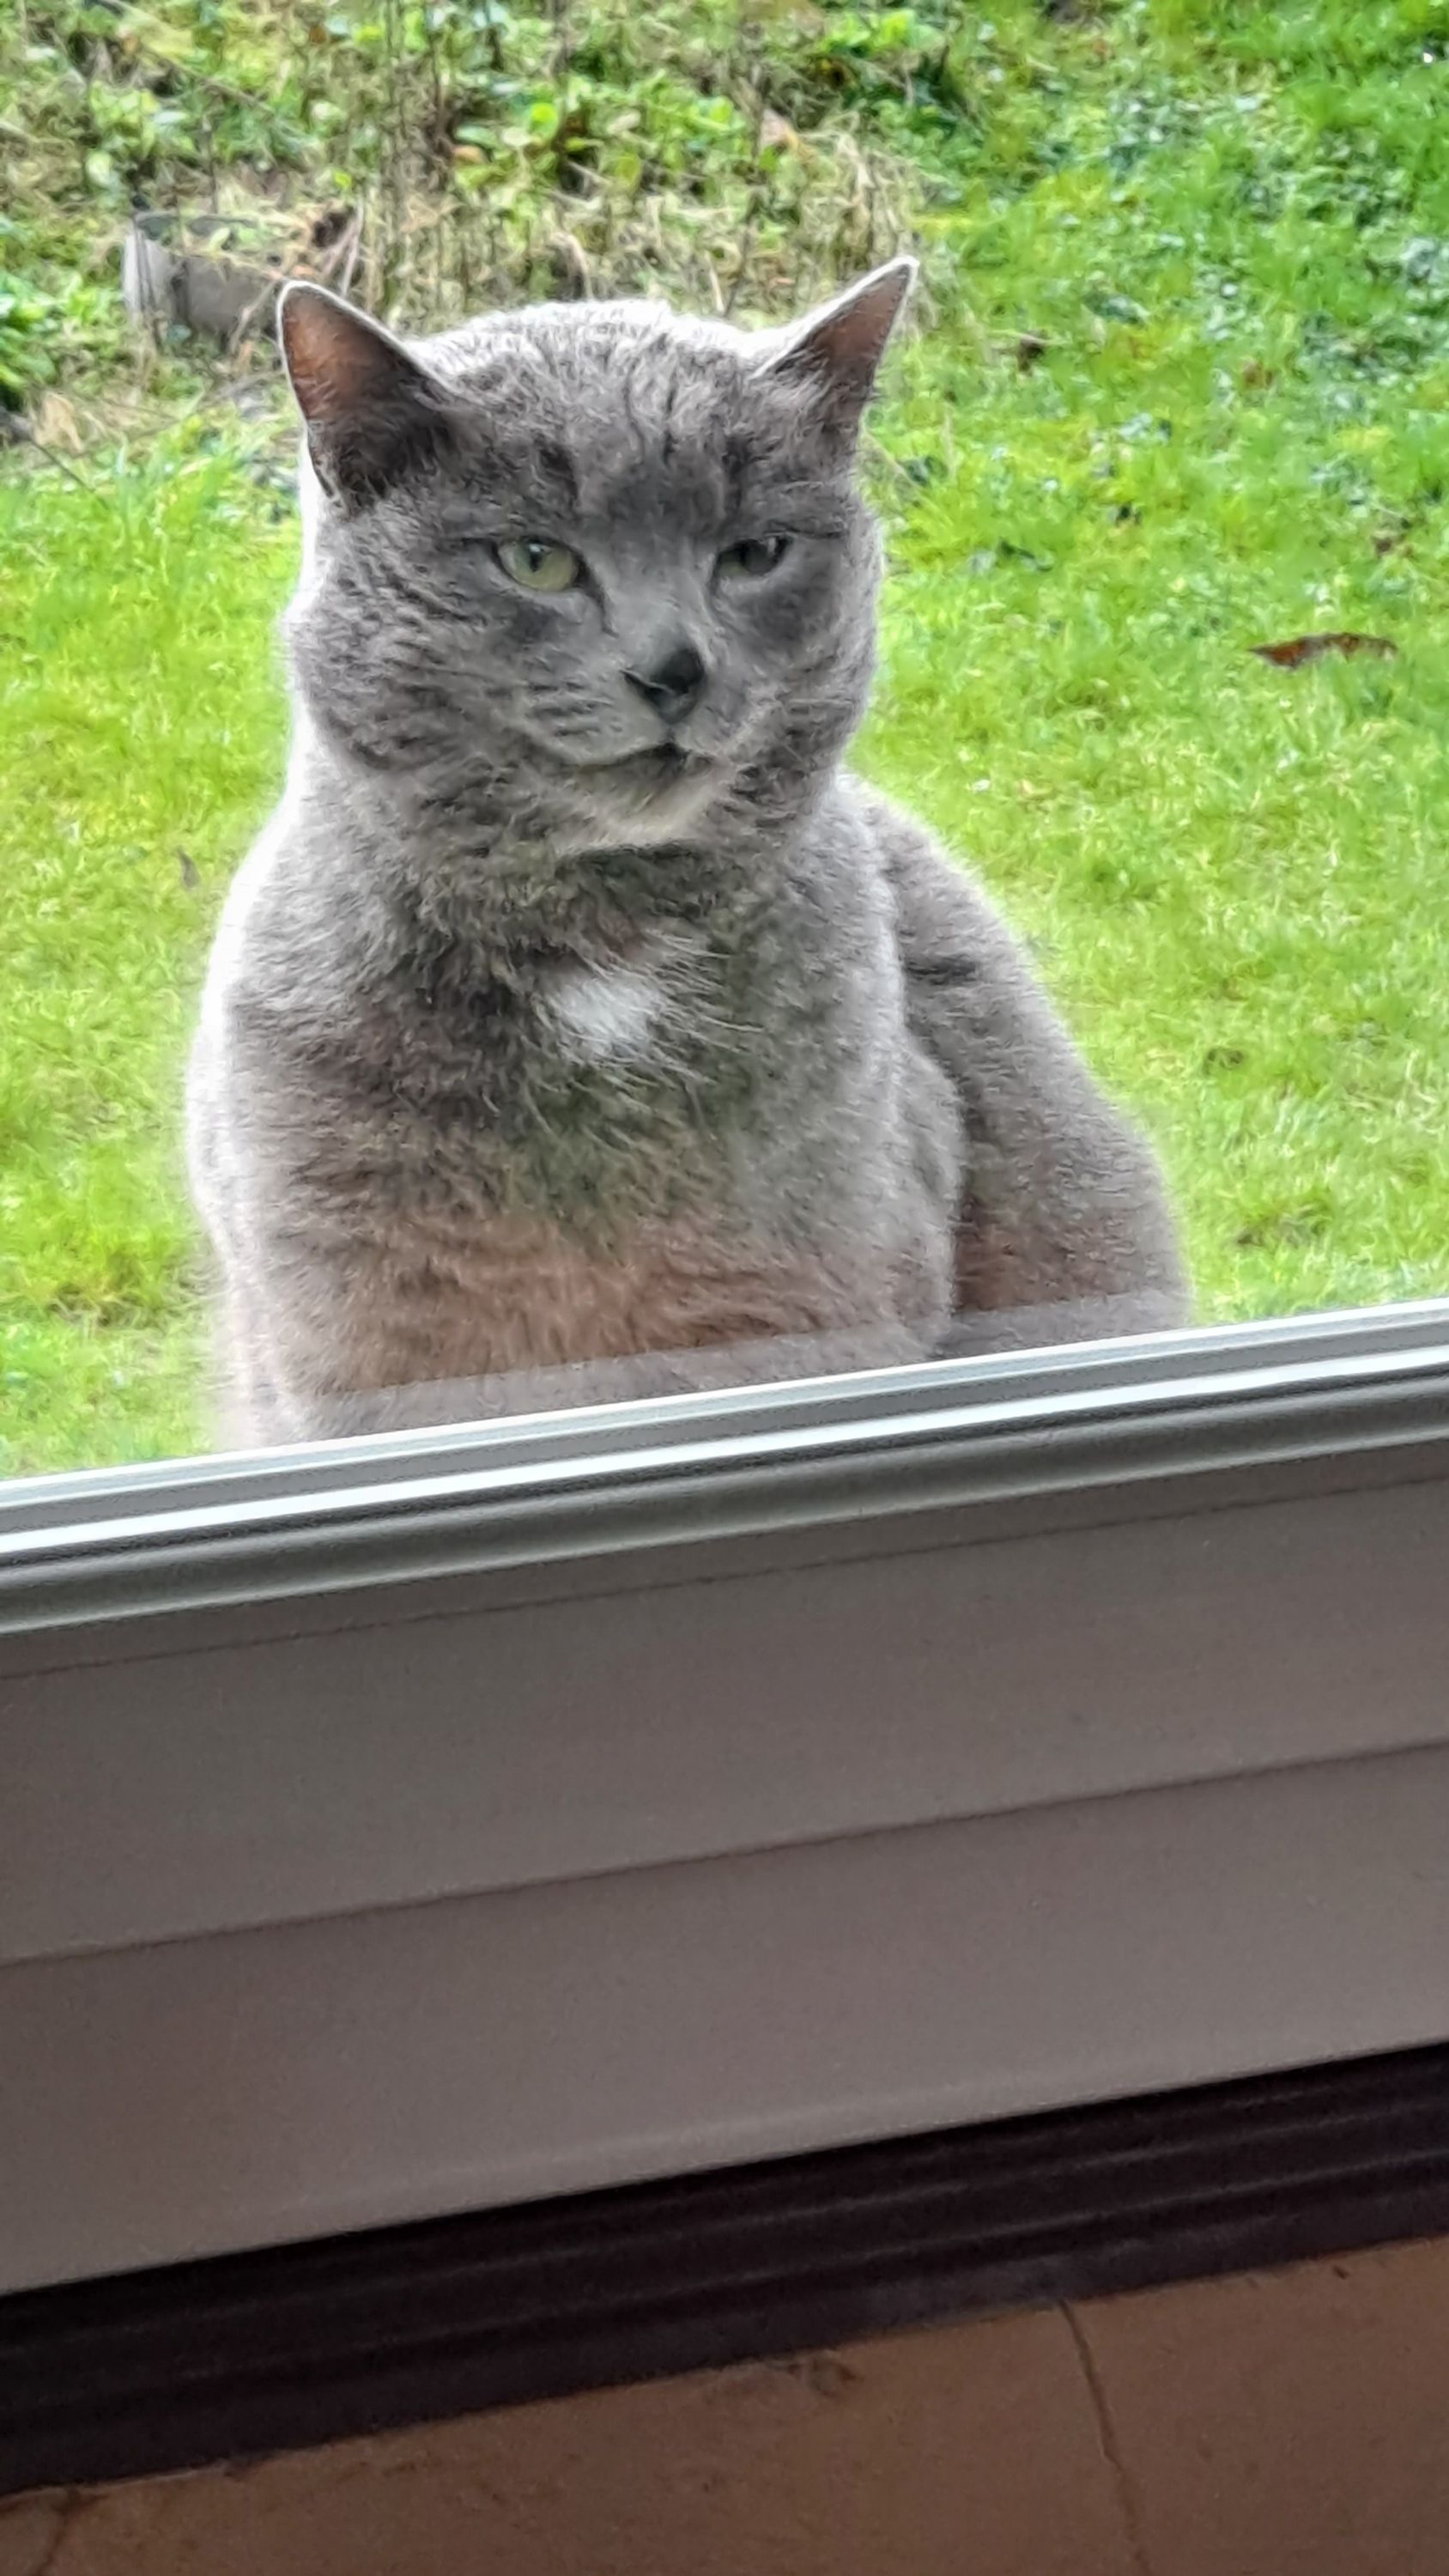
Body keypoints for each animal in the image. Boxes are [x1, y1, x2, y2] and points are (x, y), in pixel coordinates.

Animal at [186, 259, 1186, 1445]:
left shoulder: (798, 1301)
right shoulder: (361, 1336)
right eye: (535, 560)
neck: (600, 960)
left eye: (753, 554)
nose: (673, 669)